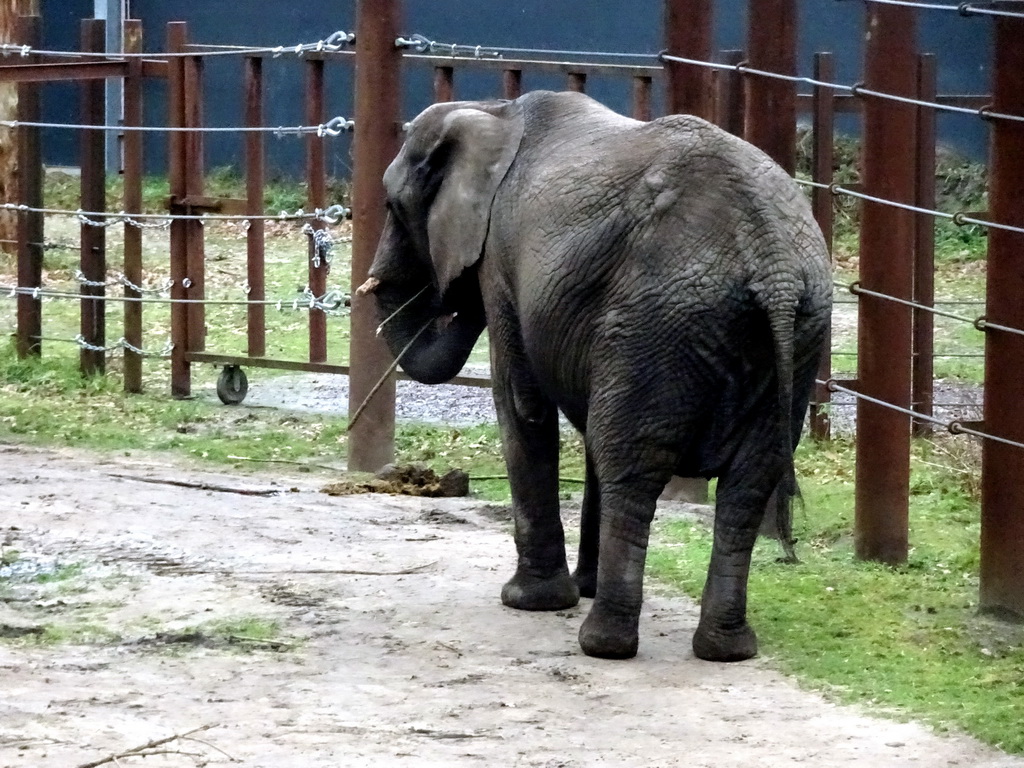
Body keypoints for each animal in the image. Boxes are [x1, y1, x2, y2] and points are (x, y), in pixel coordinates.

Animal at [358, 88, 831, 655]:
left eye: (391, 205)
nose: (456, 296)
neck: (493, 111)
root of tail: (771, 260)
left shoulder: (502, 257)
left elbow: (522, 403)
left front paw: (531, 601)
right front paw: (578, 588)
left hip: (657, 319)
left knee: (632, 465)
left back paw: (605, 643)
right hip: (796, 332)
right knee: (747, 480)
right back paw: (726, 649)